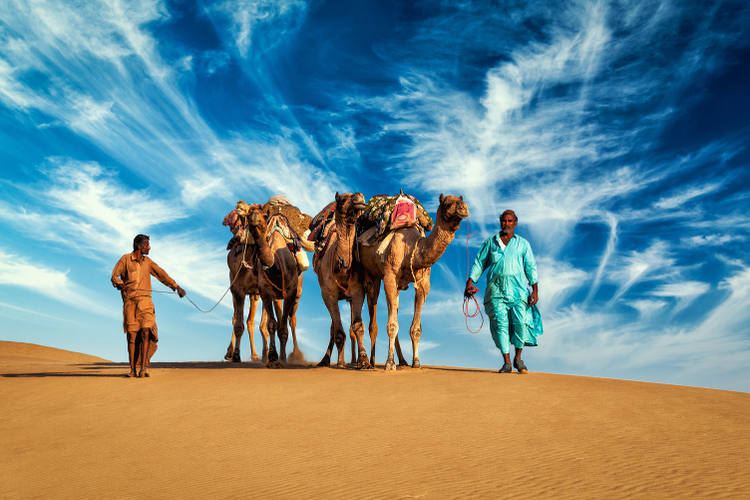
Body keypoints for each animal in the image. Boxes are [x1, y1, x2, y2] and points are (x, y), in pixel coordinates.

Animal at [245, 205, 300, 366]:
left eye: (264, 215)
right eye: (249, 214)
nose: (254, 218)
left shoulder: (290, 291)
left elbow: (283, 327)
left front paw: (282, 358)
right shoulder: (265, 292)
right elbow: (272, 324)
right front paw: (273, 357)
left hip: (297, 292)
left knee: (292, 319)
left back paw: (295, 355)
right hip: (276, 296)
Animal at [313, 192, 368, 368]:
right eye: (343, 199)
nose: (360, 196)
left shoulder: (357, 292)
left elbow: (357, 326)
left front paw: (364, 361)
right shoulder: (328, 295)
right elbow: (337, 332)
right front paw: (340, 363)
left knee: (349, 329)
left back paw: (351, 361)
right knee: (334, 327)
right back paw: (329, 360)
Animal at [352, 194, 469, 371]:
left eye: (461, 201)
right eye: (448, 203)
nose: (464, 209)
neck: (412, 249)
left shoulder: (423, 283)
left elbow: (415, 329)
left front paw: (416, 362)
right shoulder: (389, 276)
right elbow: (392, 325)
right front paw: (389, 363)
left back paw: (394, 361)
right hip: (367, 273)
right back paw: (367, 362)